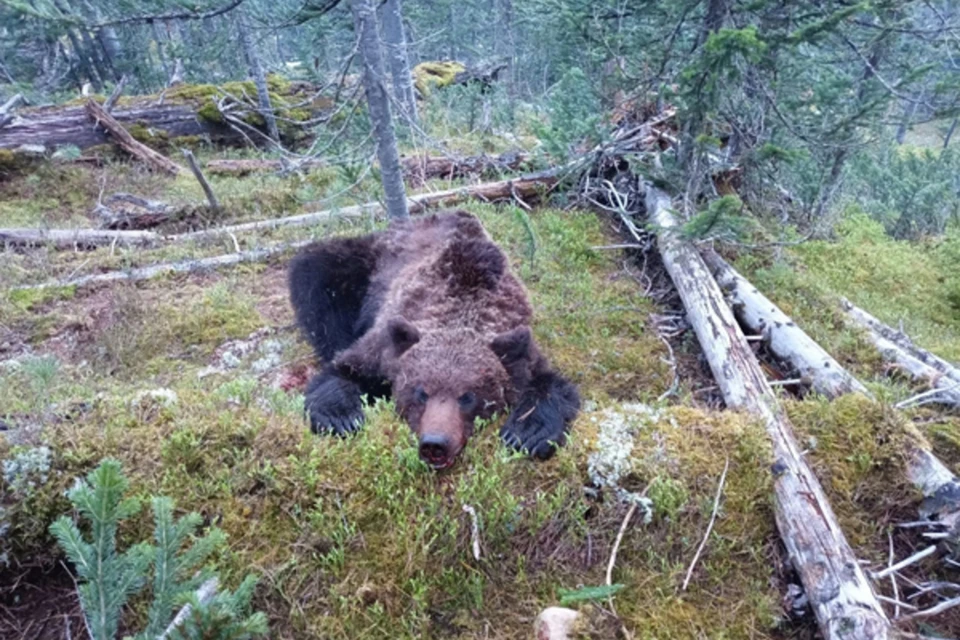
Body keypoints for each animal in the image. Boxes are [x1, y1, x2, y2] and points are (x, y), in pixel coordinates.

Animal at [288, 212, 580, 468]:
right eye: (421, 392)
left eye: (468, 396)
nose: (435, 443)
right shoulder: (385, 345)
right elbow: (343, 369)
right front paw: (341, 417)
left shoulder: (520, 346)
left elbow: (551, 385)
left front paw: (527, 433)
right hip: (364, 264)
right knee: (317, 273)